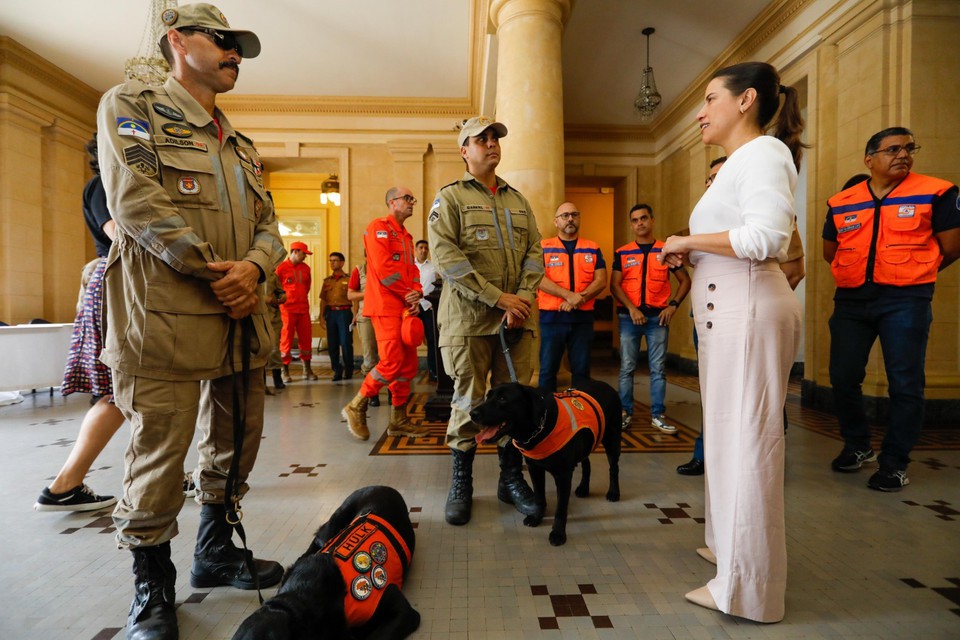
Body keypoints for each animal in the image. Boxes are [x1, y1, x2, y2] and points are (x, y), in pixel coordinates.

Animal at [470, 378, 624, 548]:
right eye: (488, 396)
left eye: (502, 398)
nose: (472, 414)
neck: (539, 427)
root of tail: (606, 384)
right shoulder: (534, 468)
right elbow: (539, 497)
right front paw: (537, 517)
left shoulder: (563, 475)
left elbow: (560, 509)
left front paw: (558, 533)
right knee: (587, 463)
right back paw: (584, 488)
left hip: (612, 439)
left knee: (614, 468)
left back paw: (613, 492)